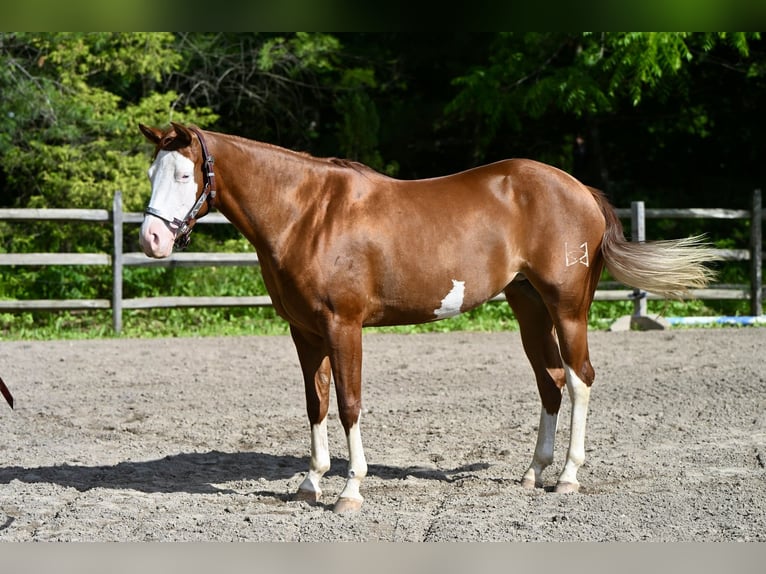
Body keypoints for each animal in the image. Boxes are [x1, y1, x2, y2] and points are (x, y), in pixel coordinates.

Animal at [138, 122, 716, 513]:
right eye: (151, 174)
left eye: (185, 173)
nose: (152, 239)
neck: (307, 214)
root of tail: (580, 190)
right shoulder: (304, 332)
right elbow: (315, 404)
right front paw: (310, 483)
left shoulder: (343, 327)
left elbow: (348, 404)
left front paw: (350, 490)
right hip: (528, 306)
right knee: (550, 381)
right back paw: (533, 472)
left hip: (568, 308)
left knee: (579, 379)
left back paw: (569, 477)